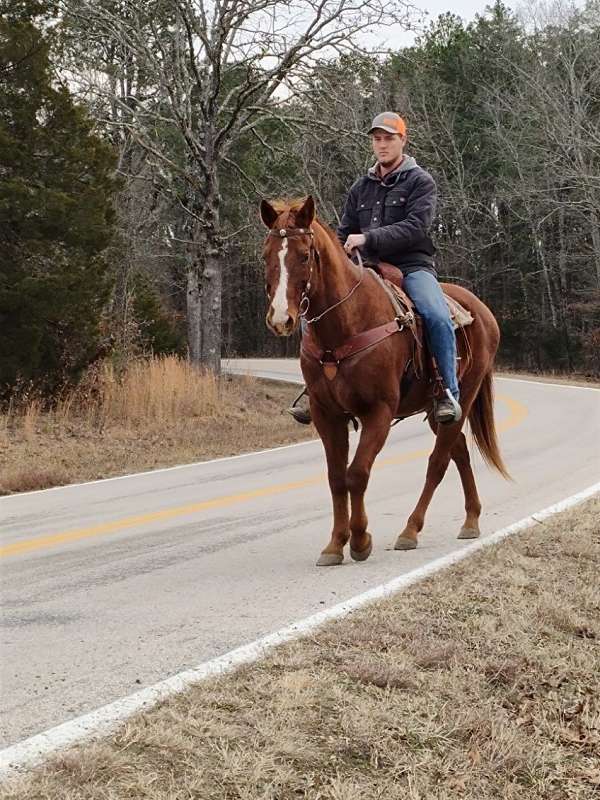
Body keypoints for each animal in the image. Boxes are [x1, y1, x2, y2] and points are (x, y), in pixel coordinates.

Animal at [260, 197, 508, 564]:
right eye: (266, 254)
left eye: (304, 254)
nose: (280, 319)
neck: (345, 324)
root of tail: (482, 311)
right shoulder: (326, 415)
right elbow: (336, 478)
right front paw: (335, 544)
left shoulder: (377, 412)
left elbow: (357, 473)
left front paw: (360, 540)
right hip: (434, 409)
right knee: (459, 452)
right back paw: (471, 520)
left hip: (463, 398)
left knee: (438, 462)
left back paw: (410, 530)